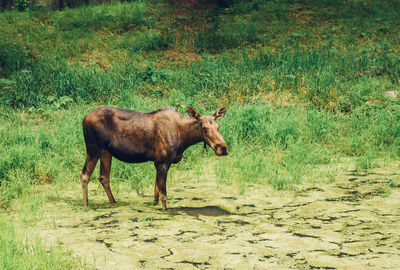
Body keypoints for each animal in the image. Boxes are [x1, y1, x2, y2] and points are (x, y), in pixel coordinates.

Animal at [79, 106, 228, 211]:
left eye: (218, 126)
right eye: (204, 127)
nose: (223, 148)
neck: (184, 139)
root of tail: (83, 119)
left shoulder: (160, 162)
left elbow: (156, 192)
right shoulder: (162, 162)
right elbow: (163, 196)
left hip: (106, 151)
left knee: (103, 177)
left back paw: (113, 202)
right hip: (93, 148)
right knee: (84, 174)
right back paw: (86, 206)